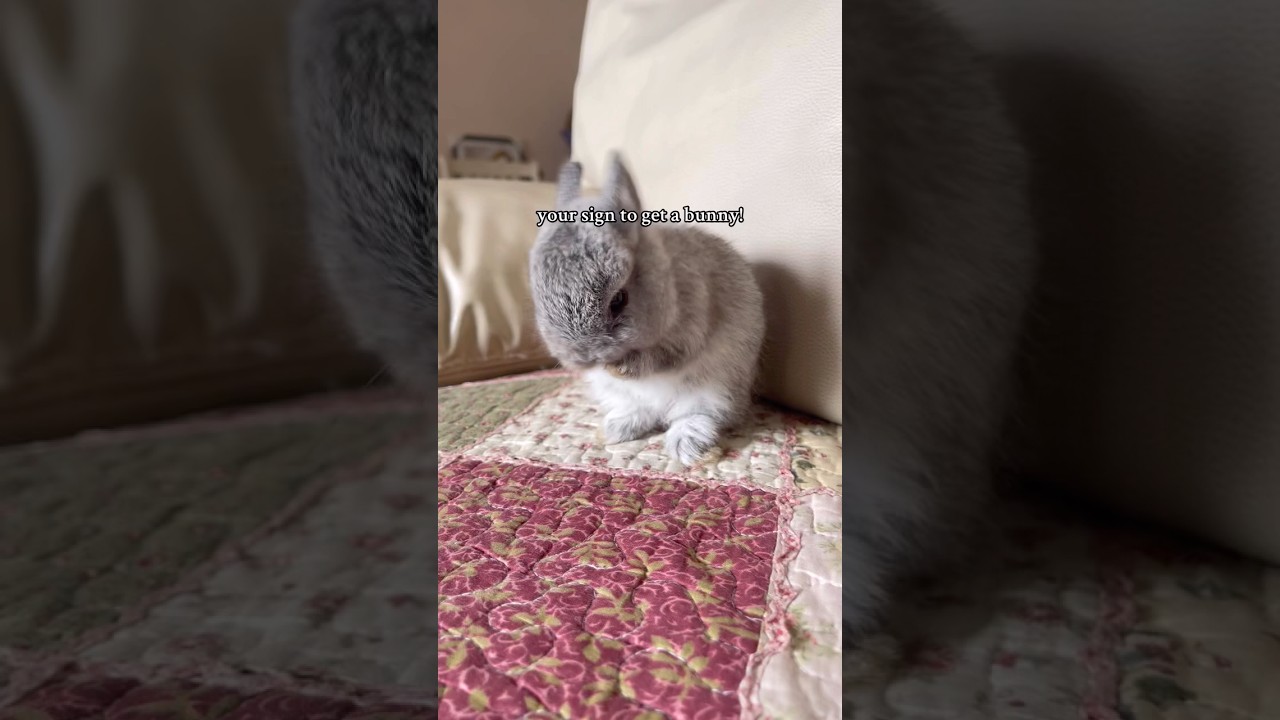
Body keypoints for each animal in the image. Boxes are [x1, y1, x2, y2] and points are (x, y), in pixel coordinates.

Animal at [529, 153, 765, 467]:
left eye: (619, 300)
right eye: (538, 296)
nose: (584, 358)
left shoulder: (690, 326)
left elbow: (662, 357)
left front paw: (619, 367)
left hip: (716, 391)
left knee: (697, 416)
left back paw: (689, 448)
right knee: (643, 413)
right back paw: (613, 431)